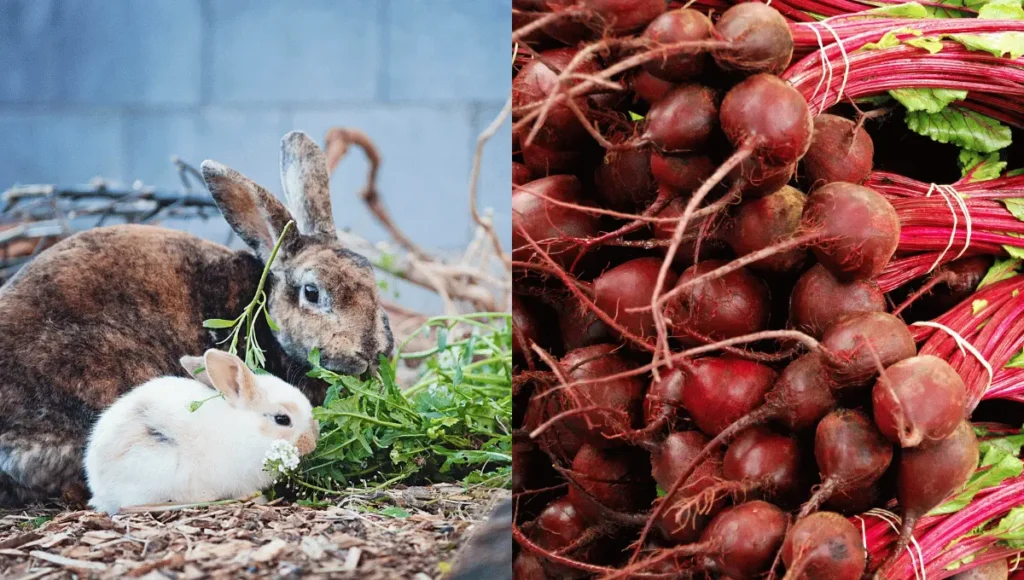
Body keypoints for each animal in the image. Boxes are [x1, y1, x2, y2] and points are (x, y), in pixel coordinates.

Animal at [83, 348, 315, 516]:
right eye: (282, 419)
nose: (312, 444)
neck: (248, 428)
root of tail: (98, 487)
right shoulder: (243, 482)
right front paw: (263, 501)